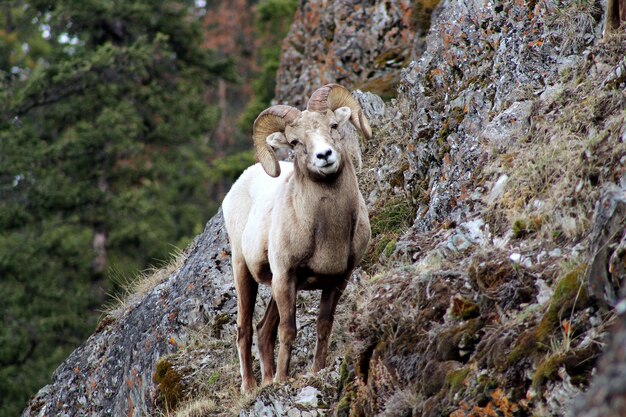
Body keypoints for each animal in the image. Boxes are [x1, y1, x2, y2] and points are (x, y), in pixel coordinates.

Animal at [222, 83, 370, 390]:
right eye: (295, 142)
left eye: (333, 125)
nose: (324, 156)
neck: (328, 233)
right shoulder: (285, 275)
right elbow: (288, 331)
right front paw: (282, 379)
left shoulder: (338, 279)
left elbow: (324, 325)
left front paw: (316, 370)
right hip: (244, 272)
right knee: (245, 329)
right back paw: (251, 387)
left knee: (263, 330)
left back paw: (266, 380)